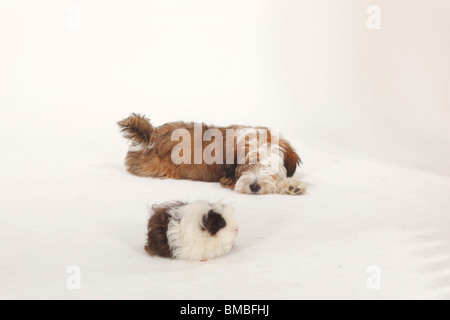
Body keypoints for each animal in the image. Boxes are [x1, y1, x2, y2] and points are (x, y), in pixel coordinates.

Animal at [117, 114, 306, 195]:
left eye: (269, 167)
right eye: (248, 164)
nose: (254, 187)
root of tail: (152, 135)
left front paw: (291, 185)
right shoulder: (230, 178)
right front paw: (287, 185)